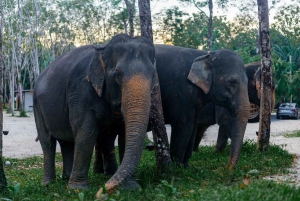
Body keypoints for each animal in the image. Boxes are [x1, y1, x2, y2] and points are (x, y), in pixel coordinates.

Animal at [32, 33, 159, 194]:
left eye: (153, 74)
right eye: (118, 74)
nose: (102, 191)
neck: (103, 50)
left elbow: (124, 136)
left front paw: (131, 187)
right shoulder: (80, 91)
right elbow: (86, 133)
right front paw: (77, 189)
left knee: (67, 141)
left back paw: (66, 178)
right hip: (38, 107)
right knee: (47, 141)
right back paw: (48, 183)